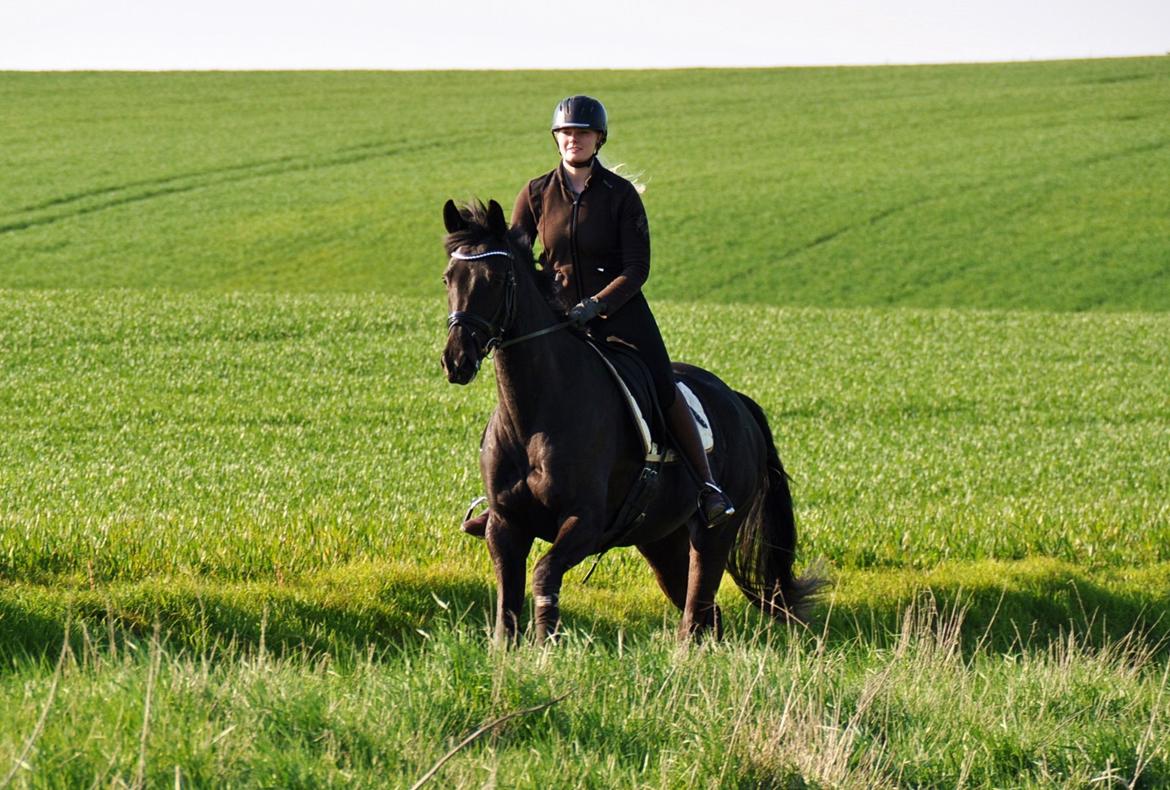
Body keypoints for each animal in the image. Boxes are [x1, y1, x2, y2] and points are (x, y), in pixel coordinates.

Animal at [439, 196, 823, 641]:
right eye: (449, 278)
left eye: (497, 278)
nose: (456, 360)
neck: (532, 416)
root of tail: (738, 403)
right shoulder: (504, 524)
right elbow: (507, 606)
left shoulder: (584, 522)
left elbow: (544, 576)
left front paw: (546, 647)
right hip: (662, 540)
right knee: (706, 613)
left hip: (714, 533)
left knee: (697, 608)